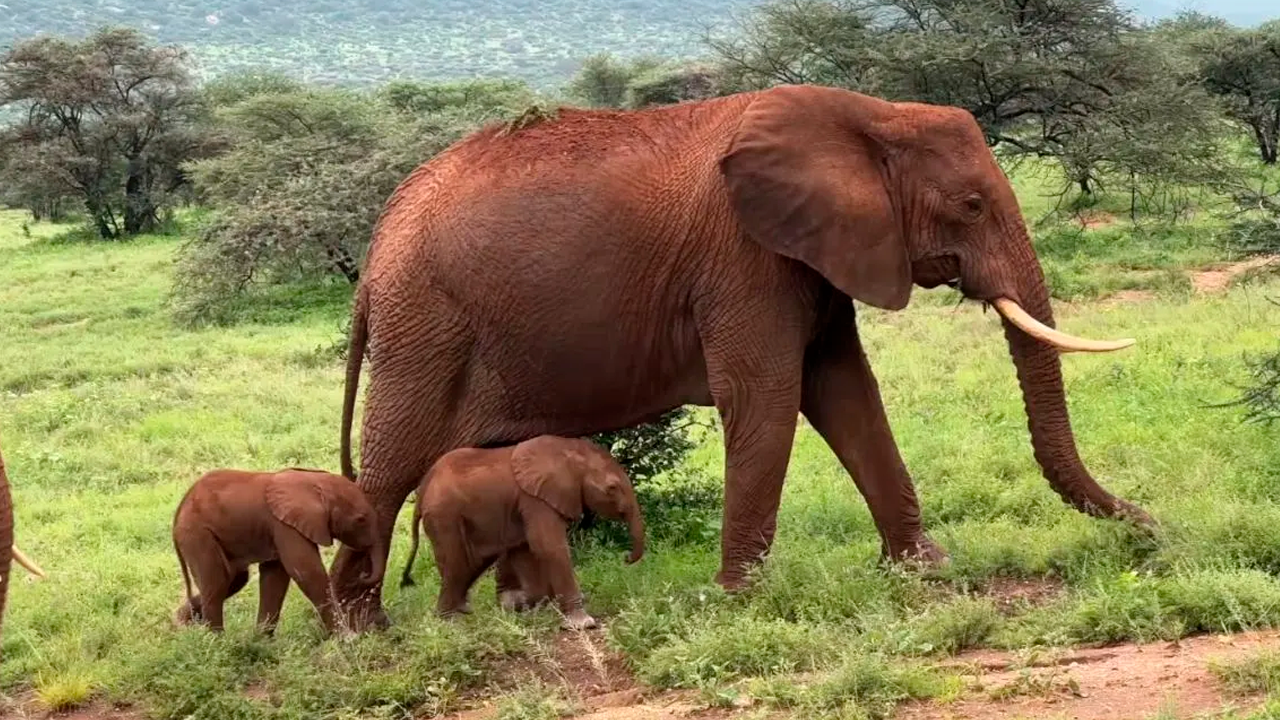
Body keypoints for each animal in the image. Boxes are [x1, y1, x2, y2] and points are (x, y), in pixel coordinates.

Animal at [171, 467, 385, 635]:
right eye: (361, 519)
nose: (363, 576)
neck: (316, 482)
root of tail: (178, 512)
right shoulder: (285, 526)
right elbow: (307, 573)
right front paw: (348, 638)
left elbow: (275, 578)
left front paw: (261, 641)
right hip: (197, 534)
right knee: (217, 582)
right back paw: (217, 642)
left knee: (234, 580)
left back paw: (182, 624)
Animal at [399, 435, 645, 630]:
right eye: (612, 488)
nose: (626, 558)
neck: (569, 451)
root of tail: (422, 491)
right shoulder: (535, 499)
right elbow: (548, 546)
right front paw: (583, 624)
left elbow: (525, 549)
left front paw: (520, 605)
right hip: (444, 514)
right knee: (457, 560)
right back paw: (450, 622)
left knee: (472, 562)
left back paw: (464, 611)